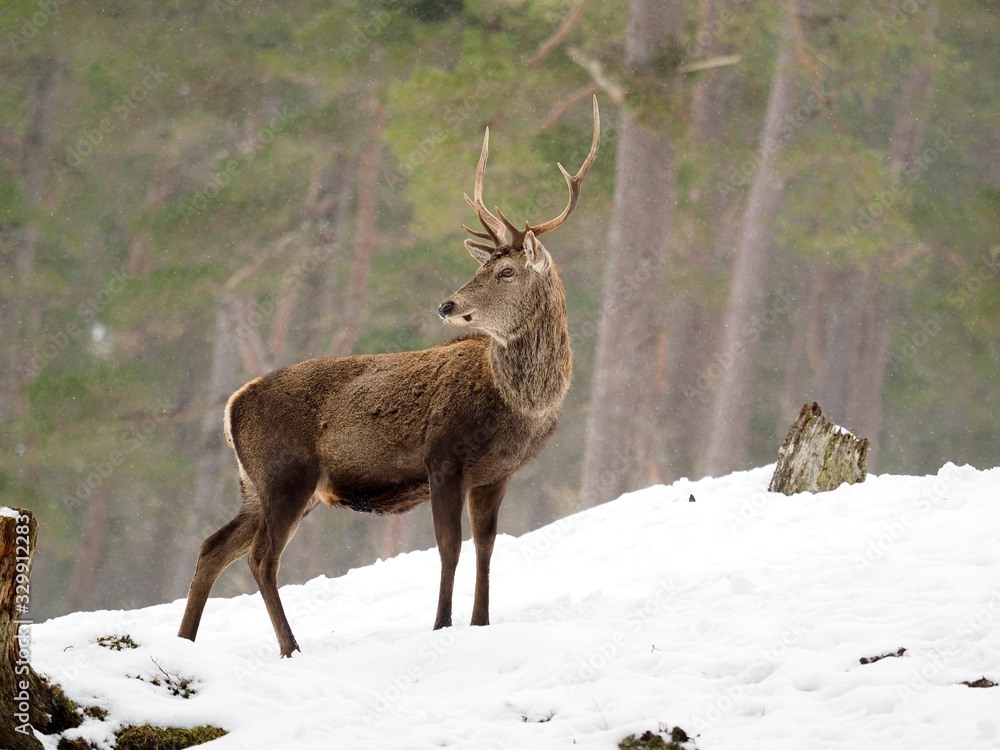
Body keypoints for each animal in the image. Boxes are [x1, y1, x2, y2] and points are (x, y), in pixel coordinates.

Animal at [177, 97, 600, 658]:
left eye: (506, 271)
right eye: (482, 266)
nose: (447, 305)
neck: (523, 404)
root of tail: (230, 407)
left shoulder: (497, 472)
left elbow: (486, 547)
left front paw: (481, 623)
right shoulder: (443, 456)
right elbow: (449, 548)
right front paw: (442, 625)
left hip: (257, 485)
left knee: (213, 546)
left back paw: (184, 641)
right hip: (285, 473)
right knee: (260, 557)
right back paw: (290, 647)